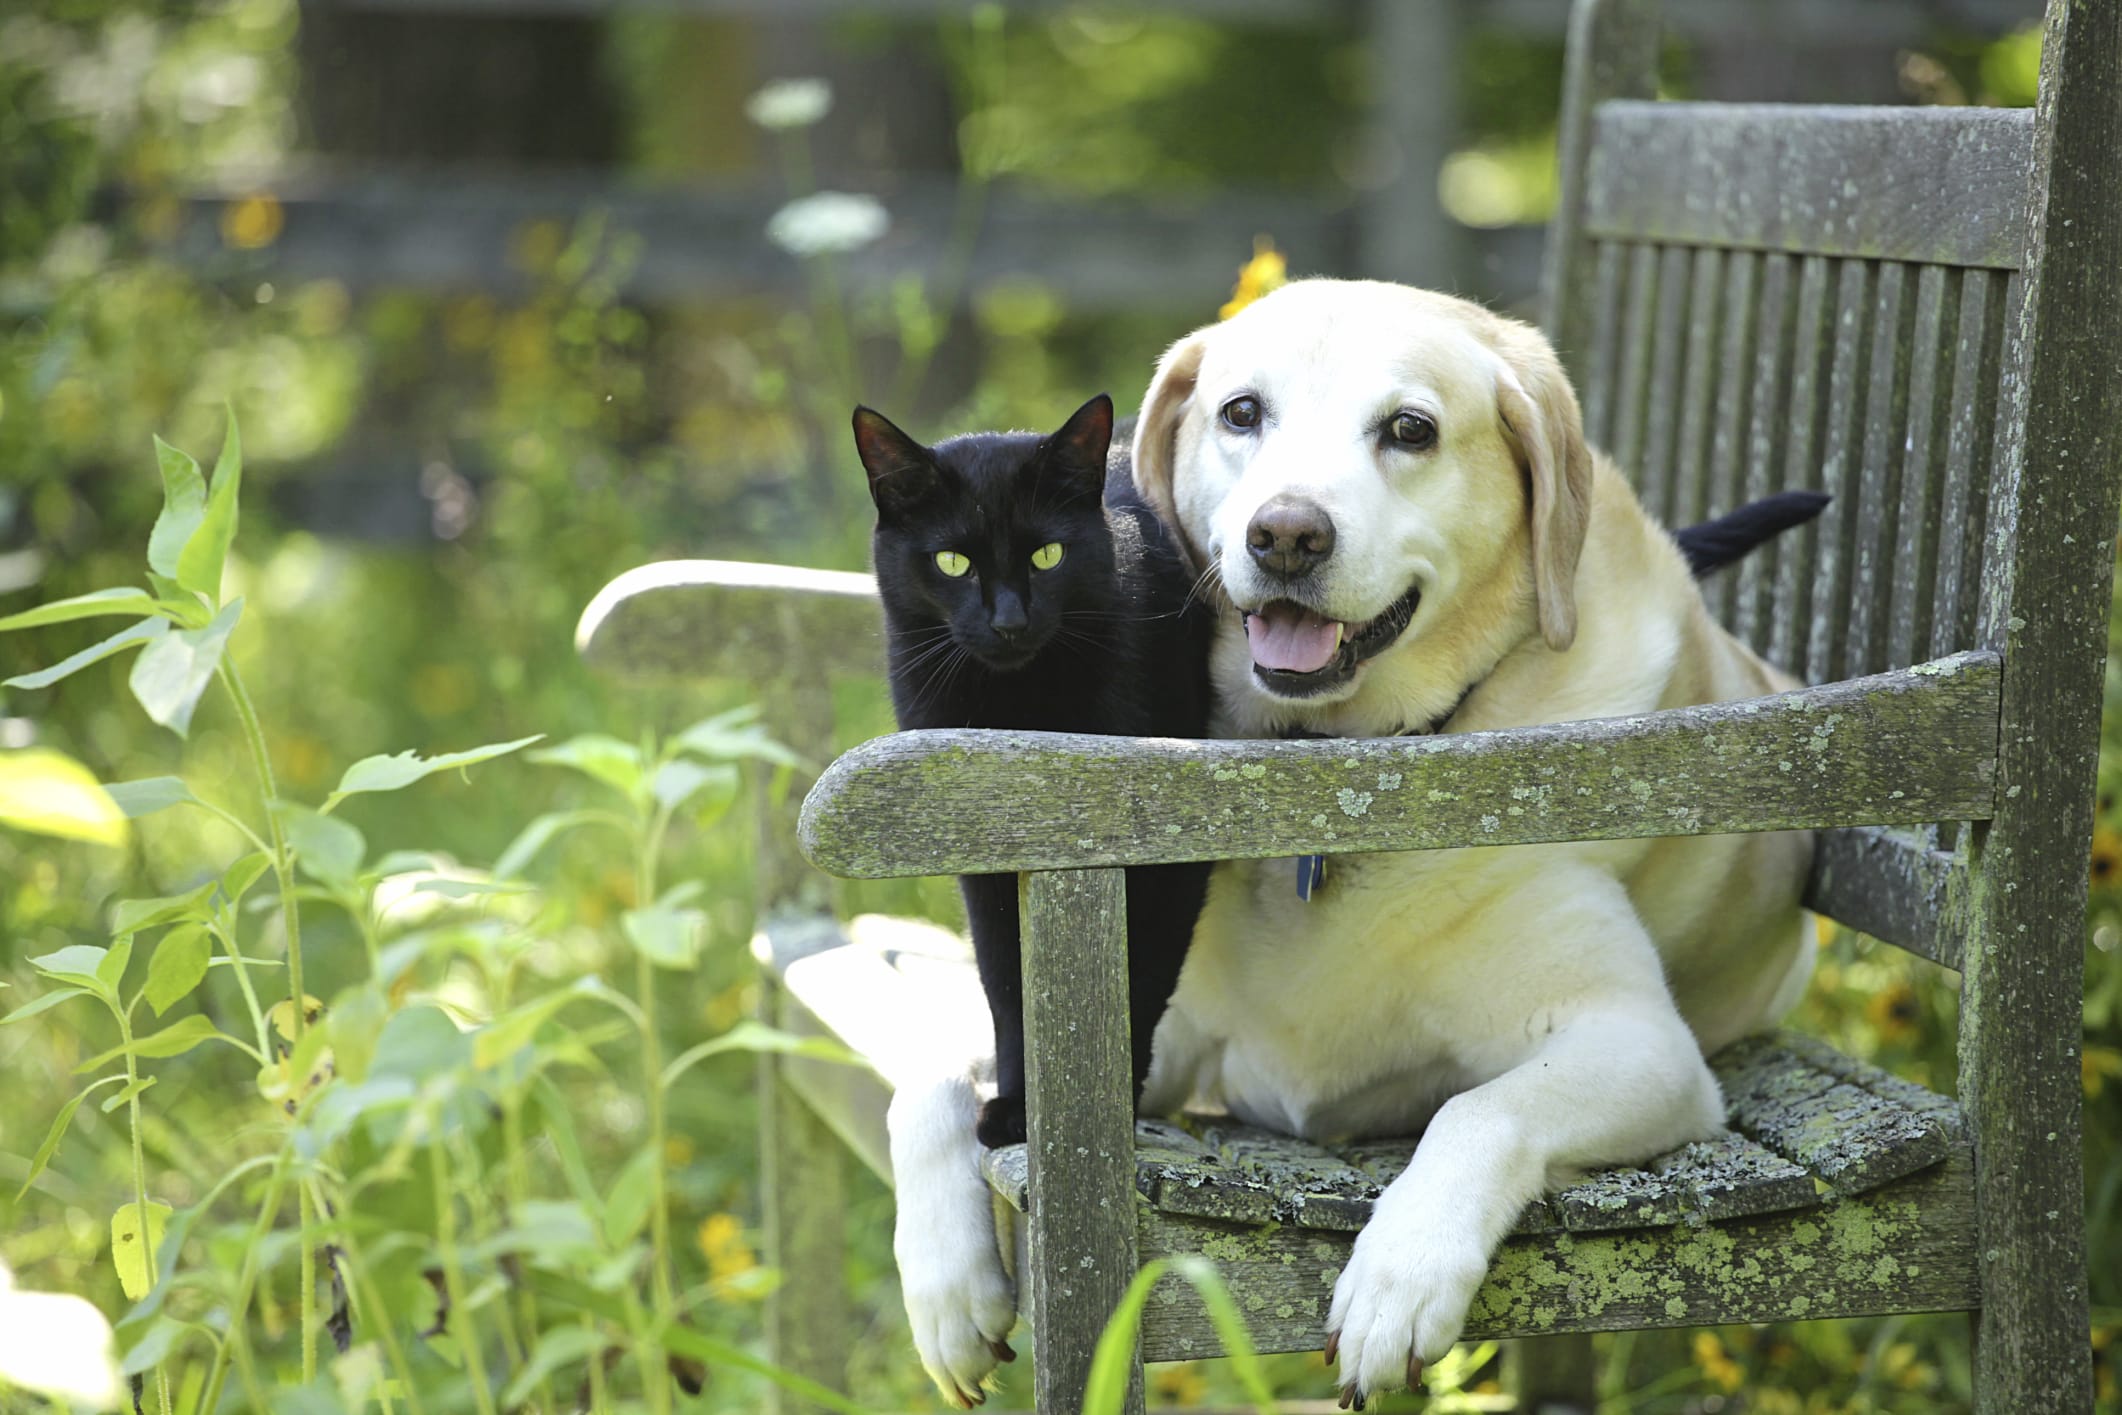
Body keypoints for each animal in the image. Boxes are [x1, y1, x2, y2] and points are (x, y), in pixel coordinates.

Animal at [844, 392, 1213, 1145]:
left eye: (1048, 555)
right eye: (952, 561)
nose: (1009, 621)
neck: (1020, 711)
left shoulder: (1166, 851)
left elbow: (1136, 976)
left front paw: (1099, 1108)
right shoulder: (984, 858)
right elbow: (1008, 984)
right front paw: (1019, 1106)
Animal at [1137, 280, 1816, 1408]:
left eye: (1409, 430)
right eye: (1241, 413)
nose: (1286, 534)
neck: (1338, 781)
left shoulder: (1640, 1046)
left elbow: (1479, 1107)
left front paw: (1399, 1276)